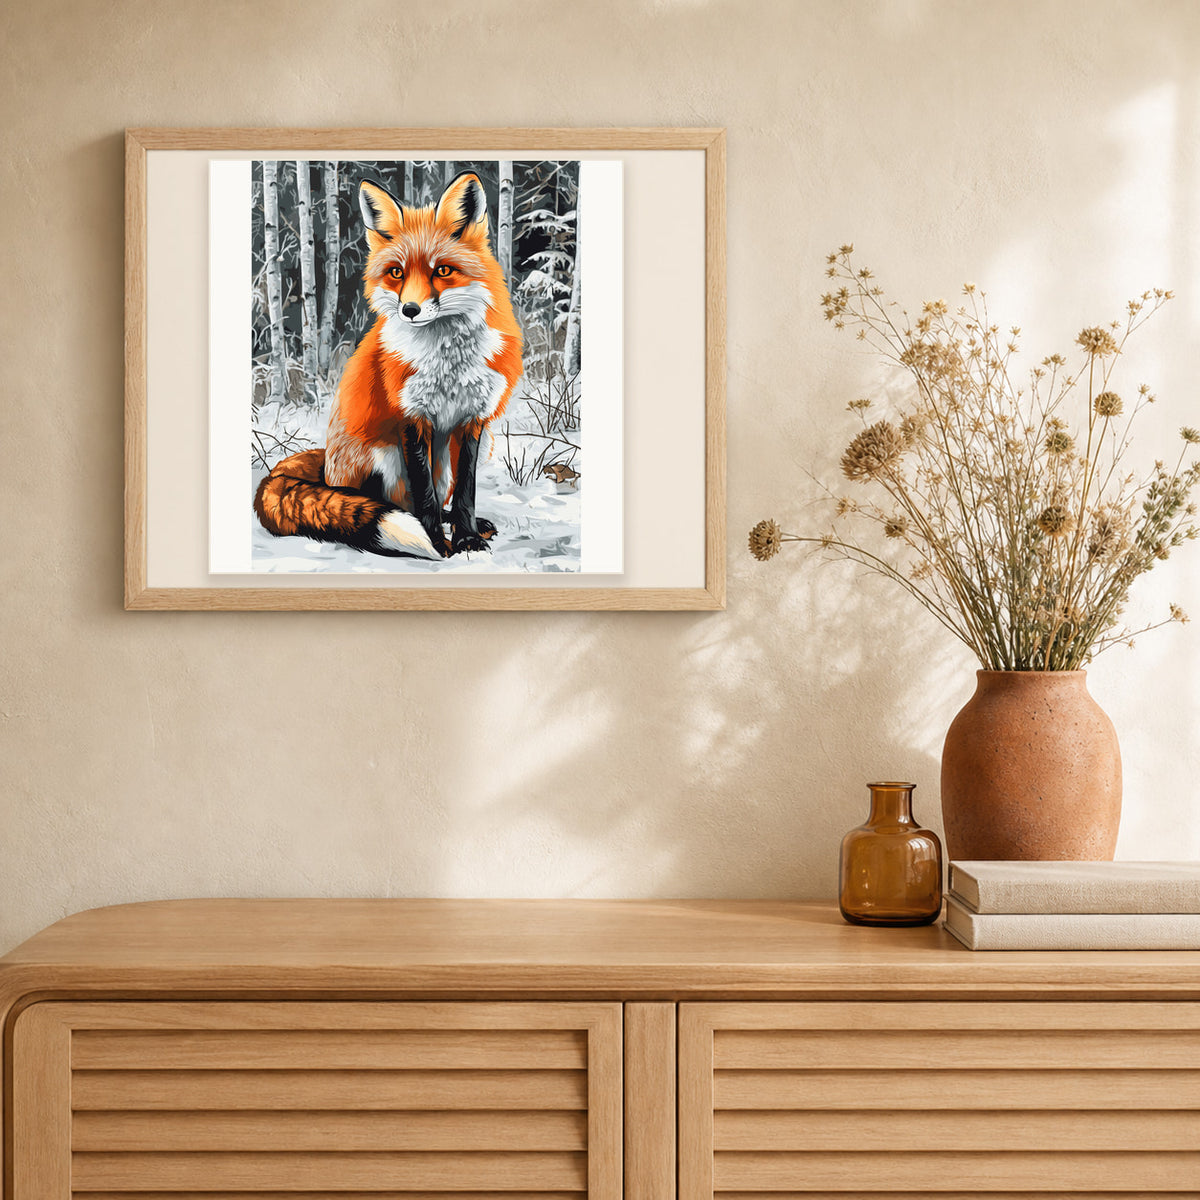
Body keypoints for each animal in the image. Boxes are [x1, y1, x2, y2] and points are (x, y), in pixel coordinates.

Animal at [254, 171, 523, 559]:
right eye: (397, 273)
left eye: (442, 271)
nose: (409, 310)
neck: (447, 362)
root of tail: (325, 465)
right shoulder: (411, 417)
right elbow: (423, 496)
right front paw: (437, 543)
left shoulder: (474, 420)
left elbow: (466, 492)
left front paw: (467, 537)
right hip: (382, 456)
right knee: (386, 502)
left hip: (448, 455)